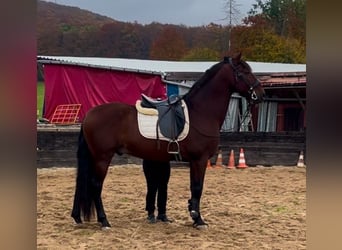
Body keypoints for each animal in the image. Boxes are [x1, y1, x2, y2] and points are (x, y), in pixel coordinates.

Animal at [71, 52, 264, 229]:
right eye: (244, 71)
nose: (261, 94)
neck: (200, 112)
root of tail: (89, 114)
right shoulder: (199, 160)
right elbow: (198, 188)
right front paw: (198, 219)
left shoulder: (194, 161)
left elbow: (194, 188)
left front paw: (193, 214)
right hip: (102, 157)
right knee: (96, 186)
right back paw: (104, 221)